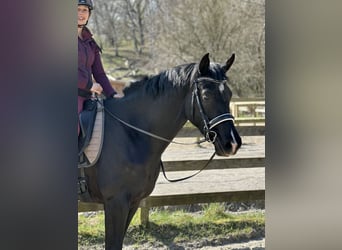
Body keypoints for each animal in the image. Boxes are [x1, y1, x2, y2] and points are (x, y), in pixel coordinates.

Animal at [80, 53, 242, 249]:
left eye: (229, 94)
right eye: (206, 96)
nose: (232, 143)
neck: (130, 132)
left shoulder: (133, 202)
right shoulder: (115, 203)